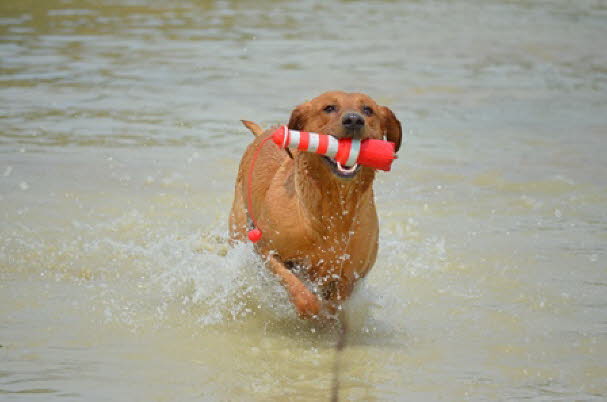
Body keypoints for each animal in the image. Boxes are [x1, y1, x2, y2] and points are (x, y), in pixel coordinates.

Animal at [230, 90, 402, 318]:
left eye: (368, 110)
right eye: (329, 108)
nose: (354, 120)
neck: (334, 208)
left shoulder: (350, 275)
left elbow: (336, 301)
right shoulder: (266, 249)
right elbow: (300, 292)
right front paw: (310, 310)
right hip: (238, 227)